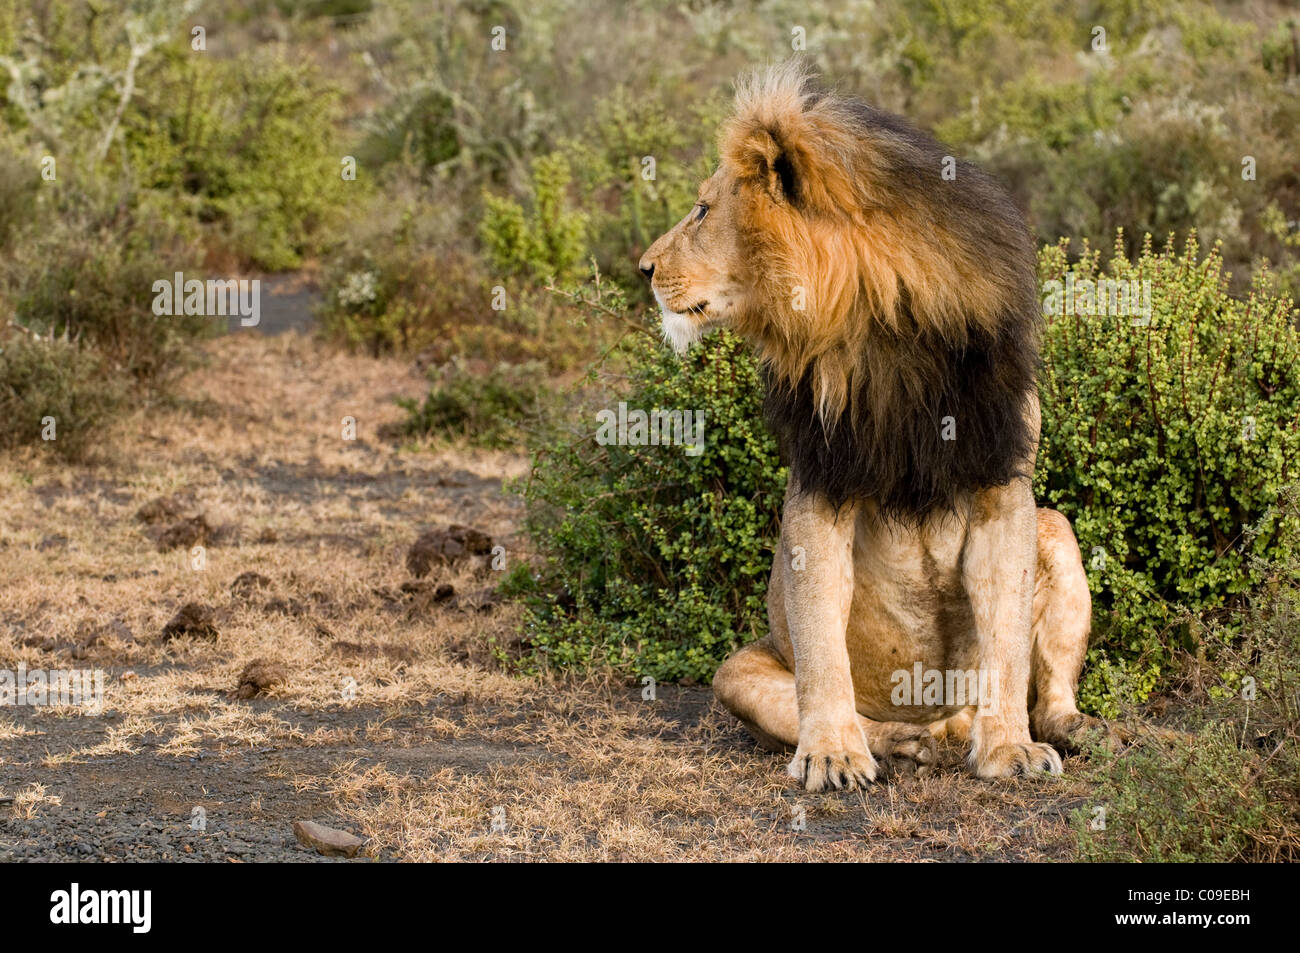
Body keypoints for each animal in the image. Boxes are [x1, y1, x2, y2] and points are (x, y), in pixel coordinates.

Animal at [637, 62, 1101, 791]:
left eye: (705, 210)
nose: (644, 269)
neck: (885, 327)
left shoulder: (1002, 484)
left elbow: (1005, 644)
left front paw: (1009, 749)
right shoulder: (821, 482)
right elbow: (823, 646)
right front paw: (830, 755)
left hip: (1054, 528)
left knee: (1048, 690)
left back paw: (1062, 729)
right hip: (741, 669)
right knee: (860, 714)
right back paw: (915, 739)